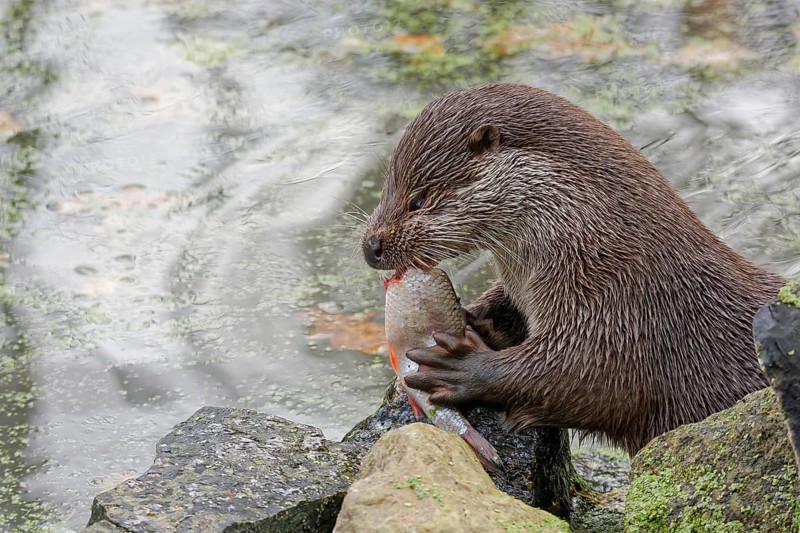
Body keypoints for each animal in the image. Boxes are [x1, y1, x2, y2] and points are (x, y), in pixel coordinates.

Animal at [361, 83, 785, 454]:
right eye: (385, 187)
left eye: (418, 200)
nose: (371, 246)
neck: (598, 242)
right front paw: (470, 316)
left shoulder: (622, 311)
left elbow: (583, 378)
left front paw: (462, 367)